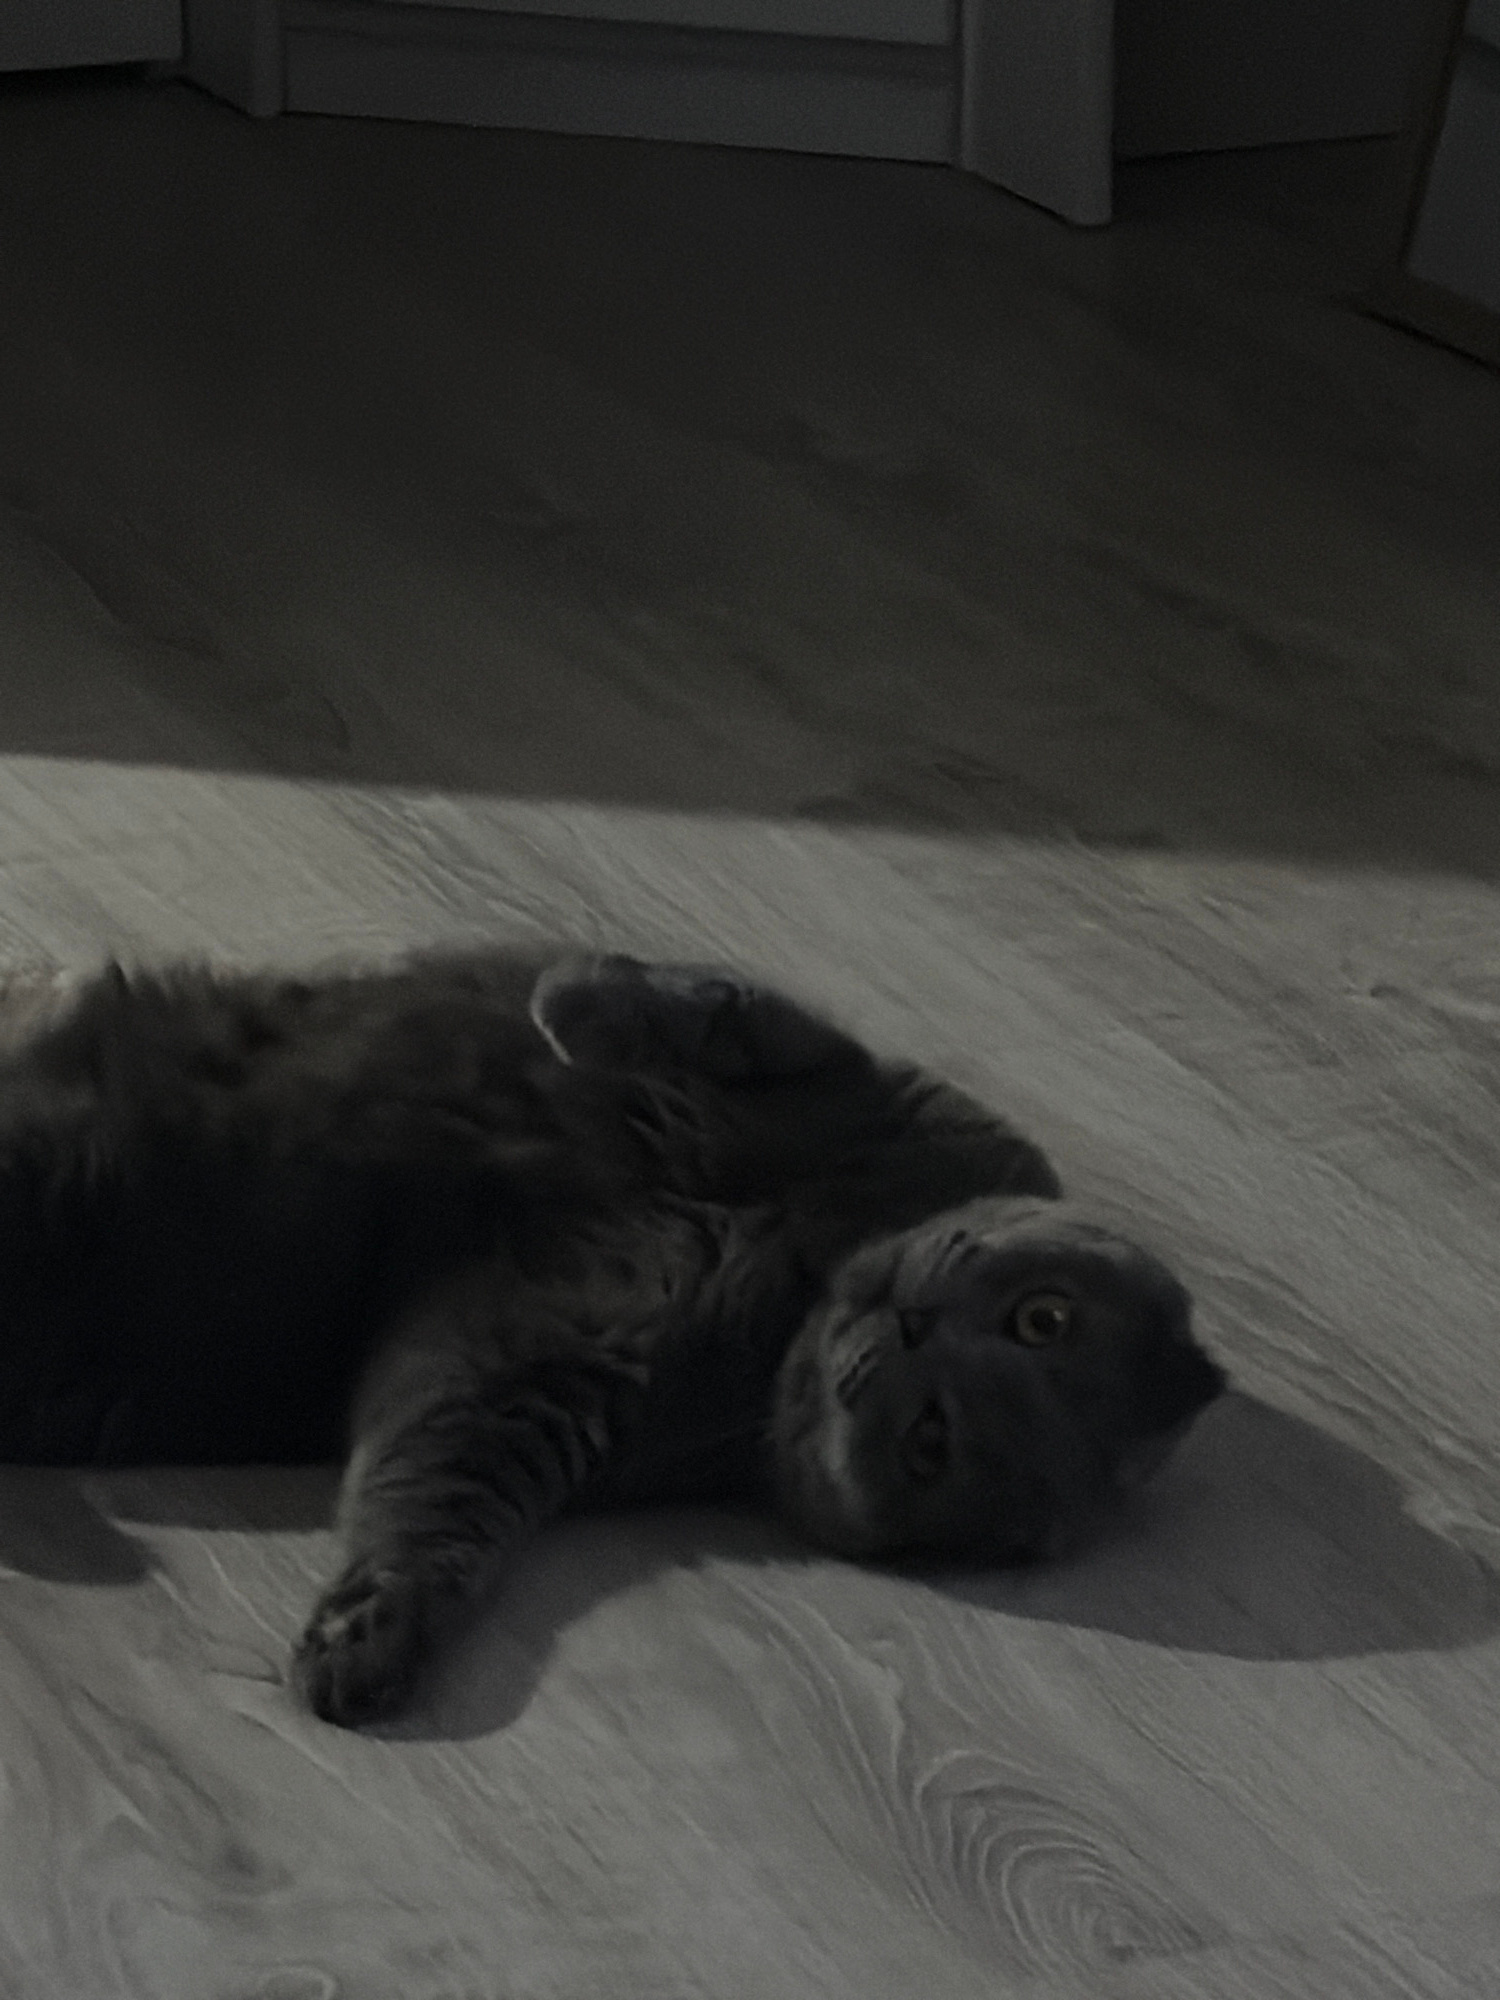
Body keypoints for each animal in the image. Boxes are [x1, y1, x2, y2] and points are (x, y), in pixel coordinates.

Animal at [0, 948, 1225, 1727]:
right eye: (1043, 1315)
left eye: (933, 1441)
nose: (911, 1325)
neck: (801, 1269)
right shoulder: (880, 1090)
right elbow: (726, 1008)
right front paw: (576, 1005)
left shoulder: (543, 1363)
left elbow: (436, 1489)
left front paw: (370, 1635)